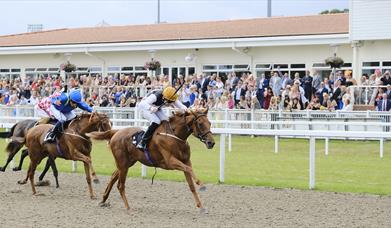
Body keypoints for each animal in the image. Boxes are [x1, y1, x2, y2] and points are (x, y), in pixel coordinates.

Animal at [87, 109, 216, 211]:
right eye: (200, 123)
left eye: (209, 123)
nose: (211, 143)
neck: (176, 136)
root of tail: (117, 132)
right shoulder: (170, 162)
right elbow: (189, 169)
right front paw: (201, 184)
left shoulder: (186, 161)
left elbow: (191, 184)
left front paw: (201, 206)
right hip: (123, 163)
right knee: (120, 184)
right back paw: (127, 207)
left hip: (127, 162)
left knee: (113, 176)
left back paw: (103, 200)